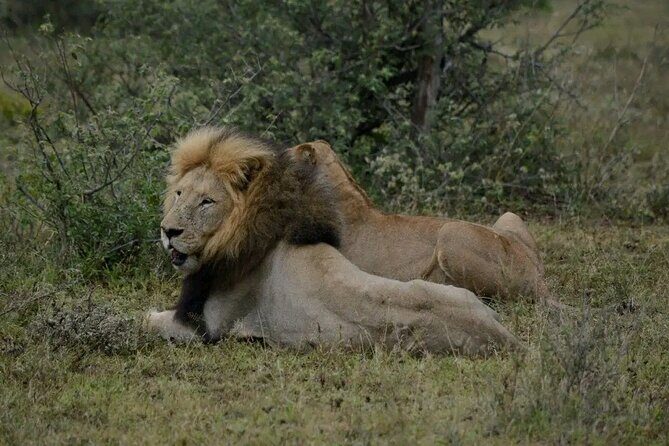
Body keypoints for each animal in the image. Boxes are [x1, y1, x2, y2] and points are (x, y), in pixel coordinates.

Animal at [144, 127, 520, 356]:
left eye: (207, 202)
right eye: (179, 194)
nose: (168, 230)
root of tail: (503, 338)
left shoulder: (201, 328)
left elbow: (143, 319)